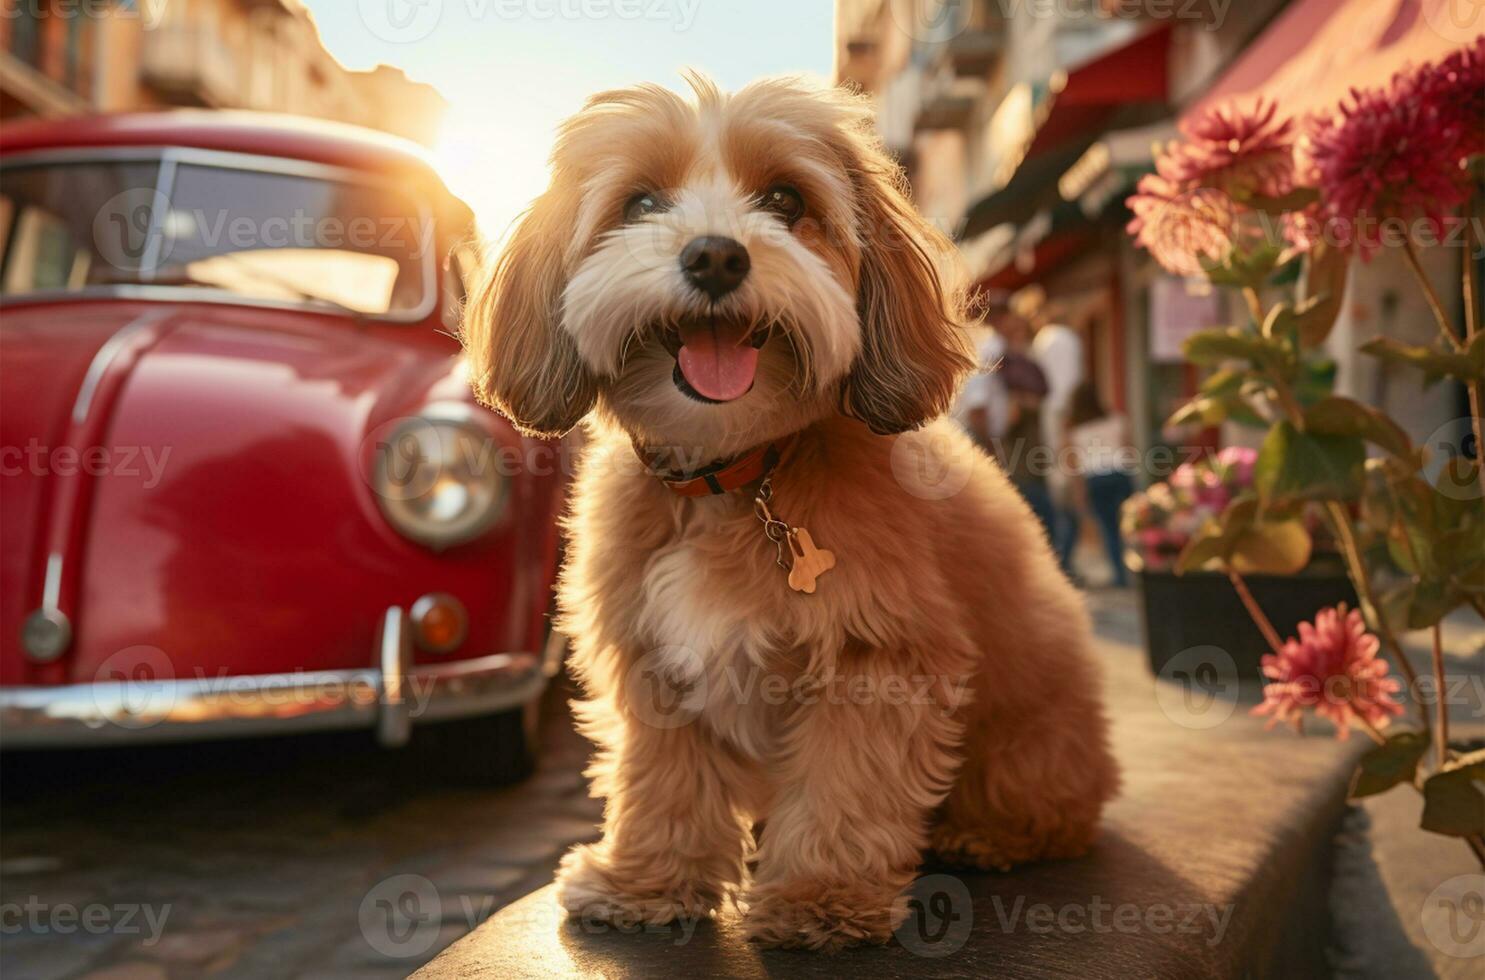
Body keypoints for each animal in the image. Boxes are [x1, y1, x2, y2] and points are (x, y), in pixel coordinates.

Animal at [460, 70, 1116, 950]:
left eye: (783, 199)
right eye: (640, 203)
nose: (713, 254)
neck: (739, 474)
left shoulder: (874, 662)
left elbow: (846, 783)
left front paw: (819, 897)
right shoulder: (650, 659)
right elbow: (659, 777)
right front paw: (645, 881)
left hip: (1032, 740)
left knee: (1052, 810)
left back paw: (983, 835)